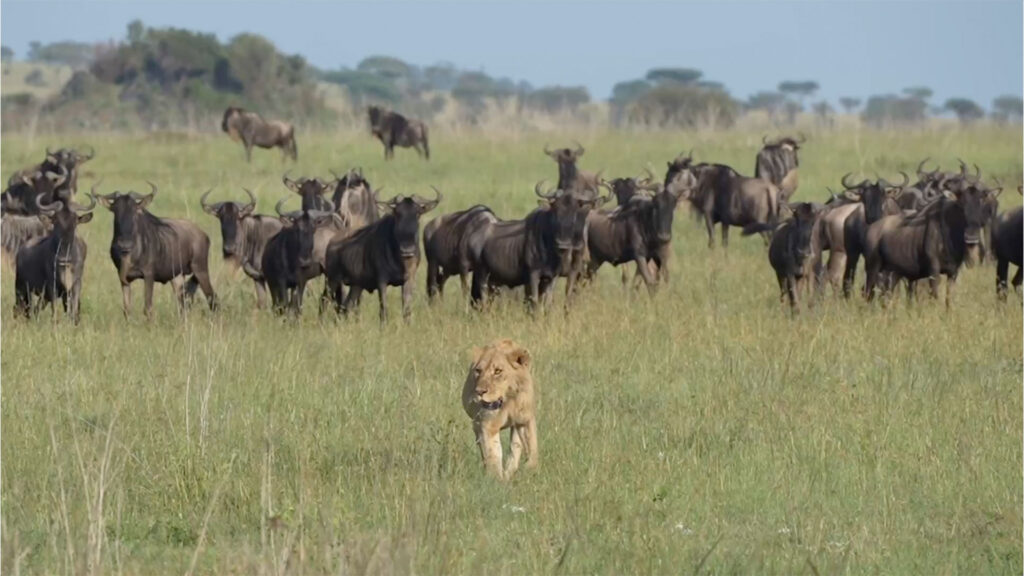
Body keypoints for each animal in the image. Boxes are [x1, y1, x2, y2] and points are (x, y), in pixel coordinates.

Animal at [462, 339, 538, 480]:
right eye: (478, 371)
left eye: (498, 371)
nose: (479, 392)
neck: (508, 400)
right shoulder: (488, 424)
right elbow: (493, 455)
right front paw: (495, 479)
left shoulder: (525, 419)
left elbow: (532, 448)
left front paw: (529, 468)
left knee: (515, 448)